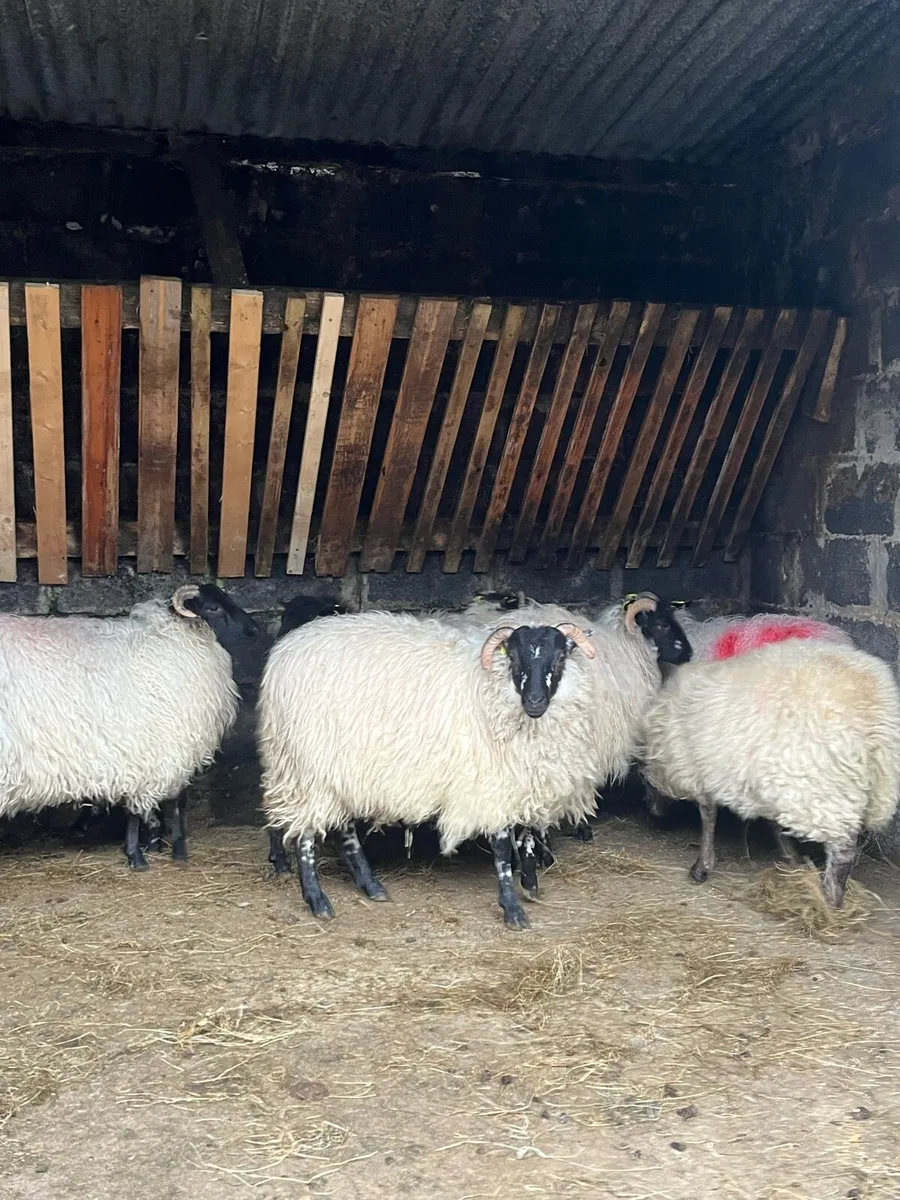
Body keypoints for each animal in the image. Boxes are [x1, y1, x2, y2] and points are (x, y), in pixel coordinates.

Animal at [0, 583, 257, 869]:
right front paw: (149, 852)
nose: (255, 630)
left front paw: (150, 845)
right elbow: (162, 806)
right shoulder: (158, 748)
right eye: (213, 607)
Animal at [259, 610, 601, 929]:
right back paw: (318, 900)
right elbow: (503, 848)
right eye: (513, 657)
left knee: (344, 830)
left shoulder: (525, 780)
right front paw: (512, 909)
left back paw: (371, 886)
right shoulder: (491, 782)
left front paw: (530, 884)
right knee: (305, 835)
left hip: (339, 771)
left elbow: (527, 834)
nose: (534, 702)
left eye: (560, 656)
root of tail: (283, 653)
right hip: (307, 768)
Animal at [637, 635, 900, 906]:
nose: (651, 810)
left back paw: (831, 897)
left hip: (828, 784)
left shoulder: (701, 770)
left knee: (843, 848)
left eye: (642, 774)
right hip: (873, 783)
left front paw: (702, 866)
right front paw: (792, 857)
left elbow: (708, 815)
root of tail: (872, 709)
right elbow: (775, 825)